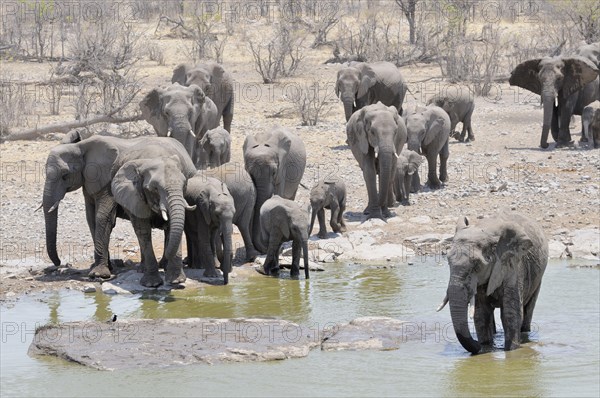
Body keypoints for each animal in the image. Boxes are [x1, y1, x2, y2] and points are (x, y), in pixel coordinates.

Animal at [41, 132, 144, 278]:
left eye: (65, 175)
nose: (59, 263)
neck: (80, 147)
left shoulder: (108, 178)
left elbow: (102, 217)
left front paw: (99, 274)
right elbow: (90, 218)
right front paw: (104, 268)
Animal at [110, 139, 197, 286]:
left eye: (185, 184)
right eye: (154, 188)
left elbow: (173, 227)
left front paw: (176, 281)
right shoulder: (135, 195)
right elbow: (143, 231)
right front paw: (152, 284)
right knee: (140, 233)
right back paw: (143, 269)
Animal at [436, 213, 548, 352]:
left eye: (476, 265)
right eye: (448, 262)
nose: (477, 345)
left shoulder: (513, 265)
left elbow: (510, 313)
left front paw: (511, 351)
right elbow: (481, 315)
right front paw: (486, 349)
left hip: (538, 278)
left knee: (528, 309)